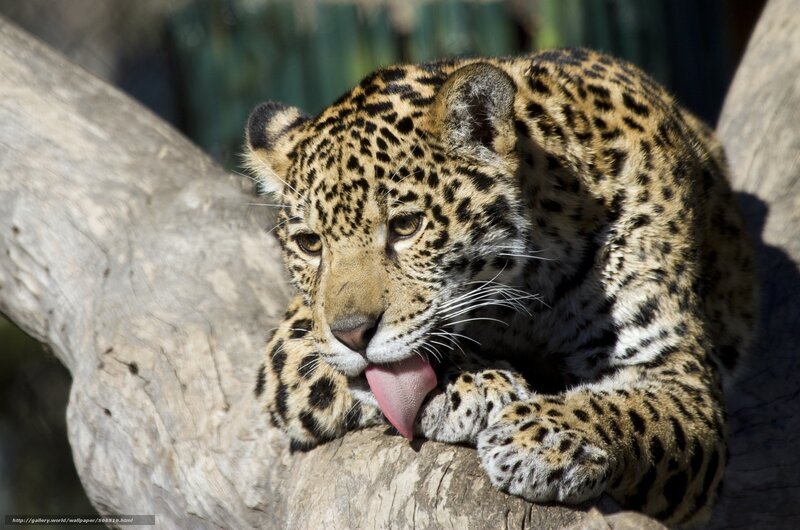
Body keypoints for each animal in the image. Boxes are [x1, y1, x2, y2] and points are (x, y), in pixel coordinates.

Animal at [244, 48, 757, 526]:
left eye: (407, 226)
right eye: (310, 244)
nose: (352, 334)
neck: (525, 299)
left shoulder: (680, 376)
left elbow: (636, 411)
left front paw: (546, 436)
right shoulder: (293, 342)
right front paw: (472, 383)